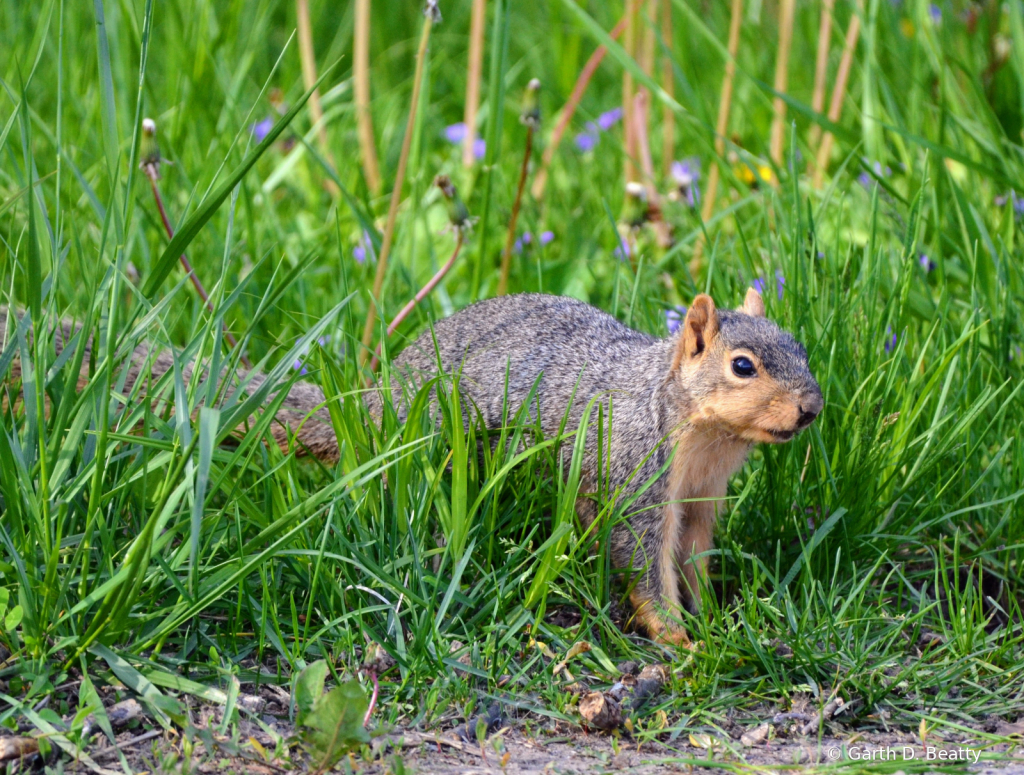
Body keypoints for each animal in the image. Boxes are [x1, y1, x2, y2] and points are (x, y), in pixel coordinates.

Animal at [0, 288, 815, 642]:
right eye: (743, 365)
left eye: (802, 347)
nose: (810, 408)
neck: (700, 434)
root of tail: (381, 396)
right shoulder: (632, 476)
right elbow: (642, 565)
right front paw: (677, 639)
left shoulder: (701, 498)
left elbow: (695, 557)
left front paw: (714, 618)